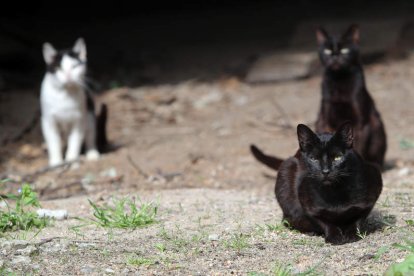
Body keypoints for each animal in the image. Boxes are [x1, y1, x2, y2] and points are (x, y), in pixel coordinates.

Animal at [40, 36, 106, 166]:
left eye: (74, 67)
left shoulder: (79, 120)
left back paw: (92, 153)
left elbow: (74, 142)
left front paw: (72, 161)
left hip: (89, 115)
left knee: (90, 135)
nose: (68, 75)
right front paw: (56, 162)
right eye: (59, 68)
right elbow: (54, 142)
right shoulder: (48, 121)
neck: (65, 95)